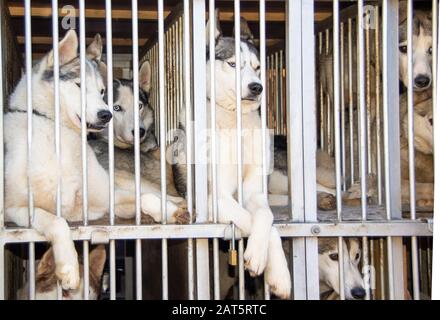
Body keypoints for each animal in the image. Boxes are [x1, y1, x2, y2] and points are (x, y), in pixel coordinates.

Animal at [3, 30, 156, 290]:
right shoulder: (14, 209)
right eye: (79, 85)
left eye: (102, 91)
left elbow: (144, 197)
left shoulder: (100, 203)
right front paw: (68, 267)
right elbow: (55, 221)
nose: (106, 115)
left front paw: (173, 211)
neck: (59, 133)